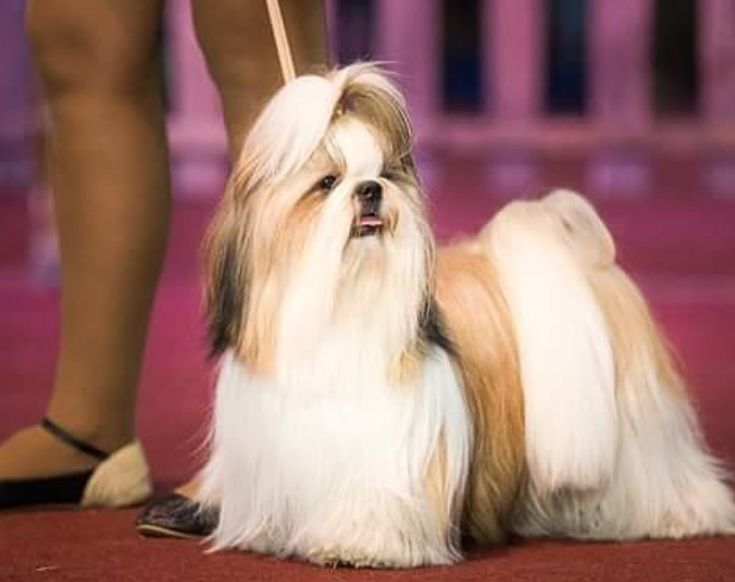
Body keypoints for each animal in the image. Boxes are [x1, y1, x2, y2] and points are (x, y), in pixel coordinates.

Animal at [197, 65, 735, 572]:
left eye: (386, 174)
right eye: (327, 183)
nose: (370, 190)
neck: (342, 313)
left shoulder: (393, 453)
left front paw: (359, 543)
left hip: (638, 437)